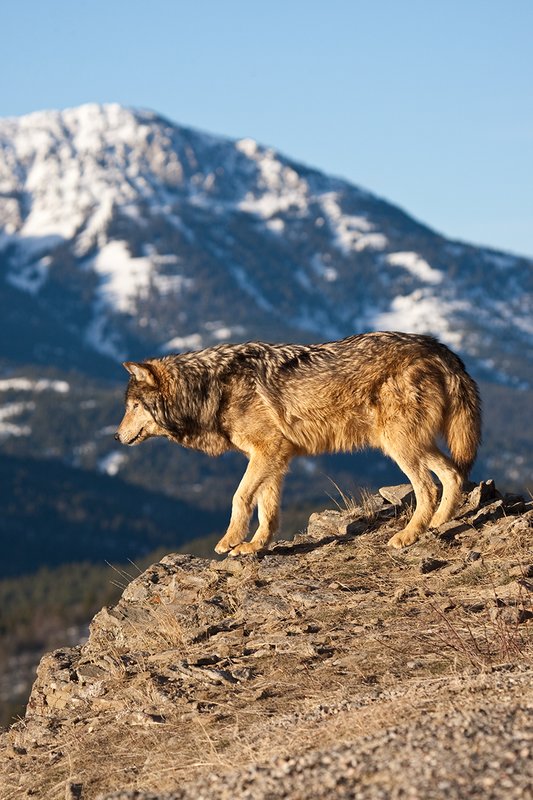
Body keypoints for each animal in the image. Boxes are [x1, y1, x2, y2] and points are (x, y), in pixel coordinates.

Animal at [115, 332, 481, 554]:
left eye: (133, 406)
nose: (116, 436)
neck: (211, 389)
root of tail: (437, 346)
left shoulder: (267, 452)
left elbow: (240, 498)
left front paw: (229, 541)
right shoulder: (275, 459)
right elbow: (267, 510)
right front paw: (255, 546)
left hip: (400, 446)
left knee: (428, 487)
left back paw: (407, 536)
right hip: (412, 444)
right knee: (452, 475)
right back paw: (437, 524)